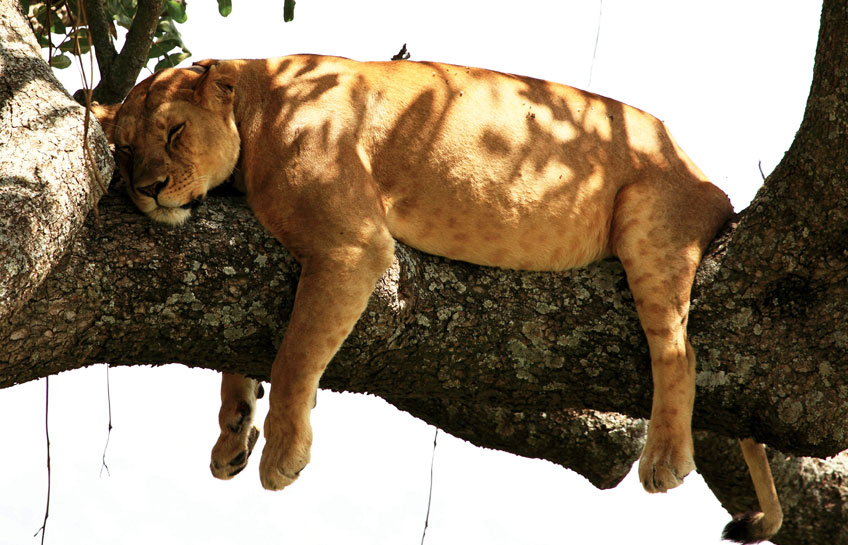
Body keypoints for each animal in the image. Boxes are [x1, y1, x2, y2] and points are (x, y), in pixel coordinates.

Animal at [91, 54, 780, 540]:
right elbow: (241, 343)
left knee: (680, 350)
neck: (257, 100)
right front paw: (235, 429)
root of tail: (706, 179)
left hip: (648, 222)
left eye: (175, 132)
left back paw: (665, 457)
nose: (148, 190)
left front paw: (283, 451)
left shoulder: (352, 245)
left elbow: (293, 356)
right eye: (123, 150)